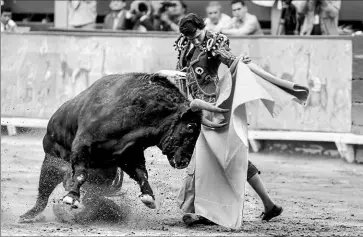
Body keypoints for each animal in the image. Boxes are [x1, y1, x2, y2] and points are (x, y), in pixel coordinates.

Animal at [19, 71, 228, 222]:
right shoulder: (82, 146)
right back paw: (29, 215)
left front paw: (149, 197)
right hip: (51, 161)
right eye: (191, 126)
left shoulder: (130, 155)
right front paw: (71, 197)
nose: (184, 161)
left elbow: (142, 174)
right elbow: (80, 174)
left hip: (103, 175)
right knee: (44, 192)